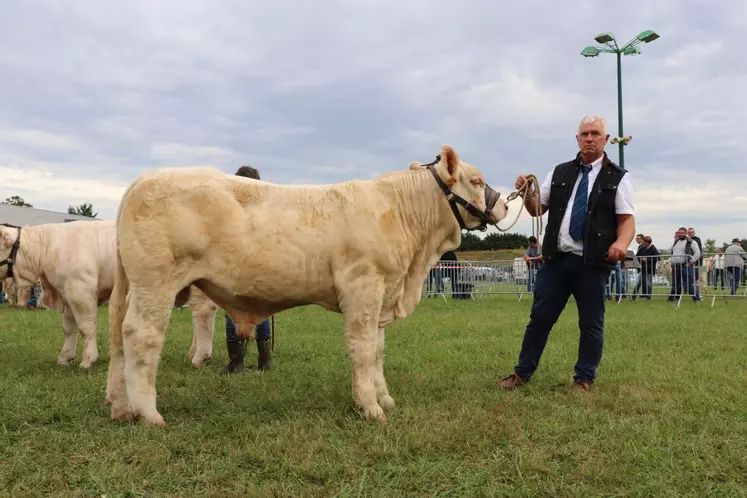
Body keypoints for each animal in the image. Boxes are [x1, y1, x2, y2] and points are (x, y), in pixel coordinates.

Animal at [0, 220, 219, 368]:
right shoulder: (67, 292)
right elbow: (68, 328)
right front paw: (65, 357)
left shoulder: (81, 291)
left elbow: (85, 327)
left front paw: (88, 359)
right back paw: (192, 354)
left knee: (203, 313)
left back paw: (200, 357)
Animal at [108, 145, 512, 428]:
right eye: (477, 181)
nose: (505, 206)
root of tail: (146, 178)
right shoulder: (363, 288)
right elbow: (363, 349)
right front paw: (370, 407)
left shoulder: (382, 295)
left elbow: (378, 350)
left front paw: (384, 398)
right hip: (155, 283)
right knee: (142, 337)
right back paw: (149, 414)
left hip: (133, 287)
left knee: (119, 338)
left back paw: (120, 407)